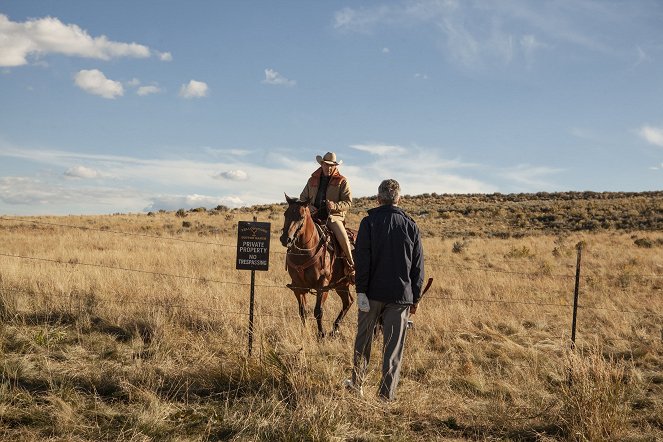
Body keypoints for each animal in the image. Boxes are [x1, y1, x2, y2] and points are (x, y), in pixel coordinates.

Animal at [278, 194, 356, 338]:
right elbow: (302, 311)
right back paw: (335, 329)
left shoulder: (322, 286)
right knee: (348, 302)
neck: (305, 252)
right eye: (285, 214)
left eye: (301, 216)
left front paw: (321, 334)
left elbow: (318, 311)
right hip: (342, 284)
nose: (286, 239)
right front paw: (304, 332)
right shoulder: (298, 287)